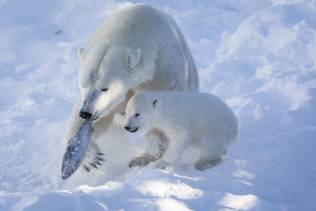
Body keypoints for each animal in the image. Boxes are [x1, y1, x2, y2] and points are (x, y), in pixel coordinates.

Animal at [64, 3, 198, 171]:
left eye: (104, 88)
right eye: (83, 85)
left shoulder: (163, 71)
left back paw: (142, 159)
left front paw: (155, 145)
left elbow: (164, 110)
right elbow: (102, 116)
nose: (86, 113)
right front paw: (89, 156)